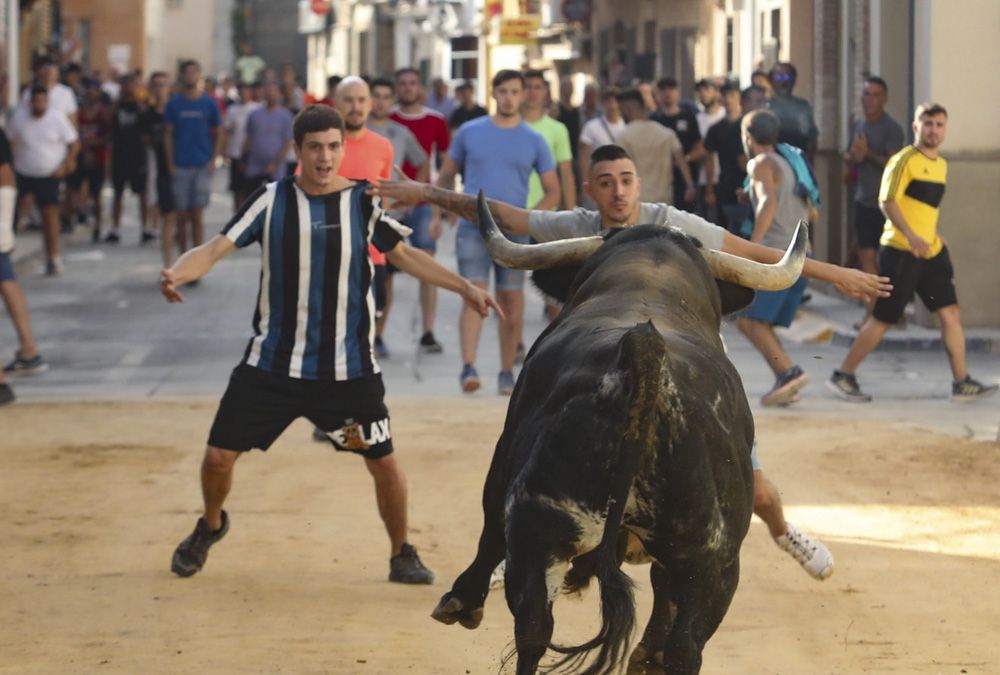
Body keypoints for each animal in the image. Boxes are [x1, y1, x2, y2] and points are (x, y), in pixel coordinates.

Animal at [434, 195, 808, 675]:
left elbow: (488, 531)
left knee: (532, 623)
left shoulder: (503, 462)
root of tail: (644, 350)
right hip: (713, 561)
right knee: (684, 646)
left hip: (541, 527)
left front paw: (461, 602)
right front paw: (647, 654)